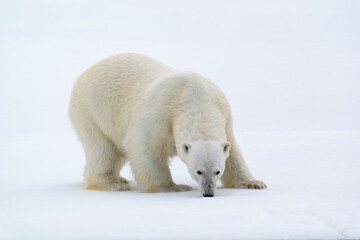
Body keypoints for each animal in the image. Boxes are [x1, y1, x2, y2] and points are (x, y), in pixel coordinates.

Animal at [69, 53, 264, 196]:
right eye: (199, 171)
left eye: (217, 171)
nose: (208, 192)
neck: (195, 97)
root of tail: (85, 72)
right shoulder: (160, 113)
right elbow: (143, 146)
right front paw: (174, 187)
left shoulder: (225, 116)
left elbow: (233, 154)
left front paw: (254, 183)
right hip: (93, 111)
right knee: (104, 150)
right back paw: (113, 183)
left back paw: (120, 179)